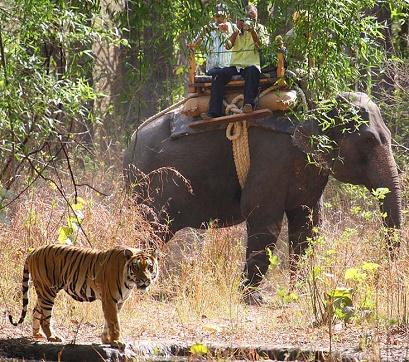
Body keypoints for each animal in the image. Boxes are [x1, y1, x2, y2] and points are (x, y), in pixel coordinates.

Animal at [8, 245, 158, 350]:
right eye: (136, 267)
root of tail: (34, 251)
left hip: (43, 291)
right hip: (47, 291)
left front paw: (106, 339)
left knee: (35, 310)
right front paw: (117, 342)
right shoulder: (110, 299)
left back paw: (37, 335)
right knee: (46, 317)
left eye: (149, 267)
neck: (129, 281)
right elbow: (114, 322)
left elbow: (108, 321)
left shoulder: (119, 302)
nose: (145, 280)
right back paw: (52, 336)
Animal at [122, 92, 400, 296]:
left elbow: (308, 225)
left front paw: (298, 295)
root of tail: (130, 144)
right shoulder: (271, 159)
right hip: (150, 184)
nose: (387, 277)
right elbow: (264, 221)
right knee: (151, 231)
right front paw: (250, 298)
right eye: (368, 141)